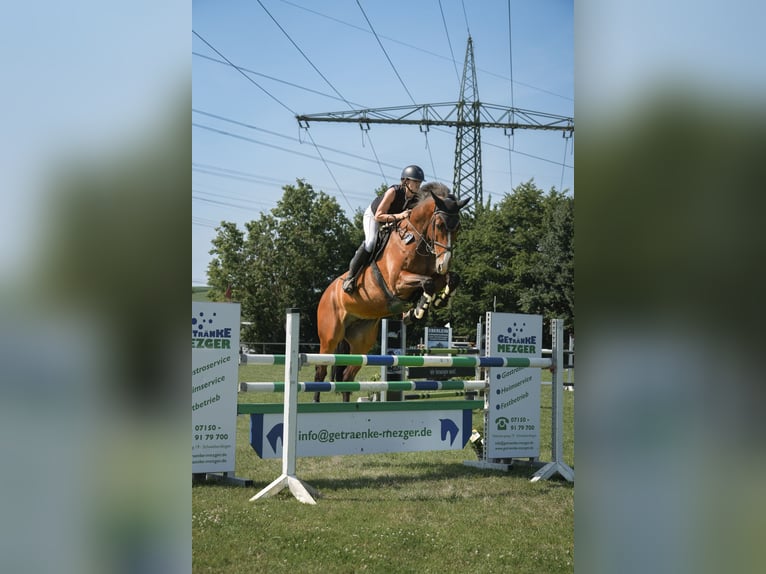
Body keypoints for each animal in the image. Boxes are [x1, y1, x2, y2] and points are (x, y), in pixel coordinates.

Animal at [314, 182, 470, 402]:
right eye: (439, 225)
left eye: (457, 227)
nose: (444, 263)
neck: (414, 240)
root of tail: (326, 293)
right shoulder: (397, 282)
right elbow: (428, 283)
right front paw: (418, 310)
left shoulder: (433, 275)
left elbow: (448, 279)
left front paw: (434, 303)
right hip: (330, 336)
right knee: (320, 371)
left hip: (361, 339)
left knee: (347, 376)